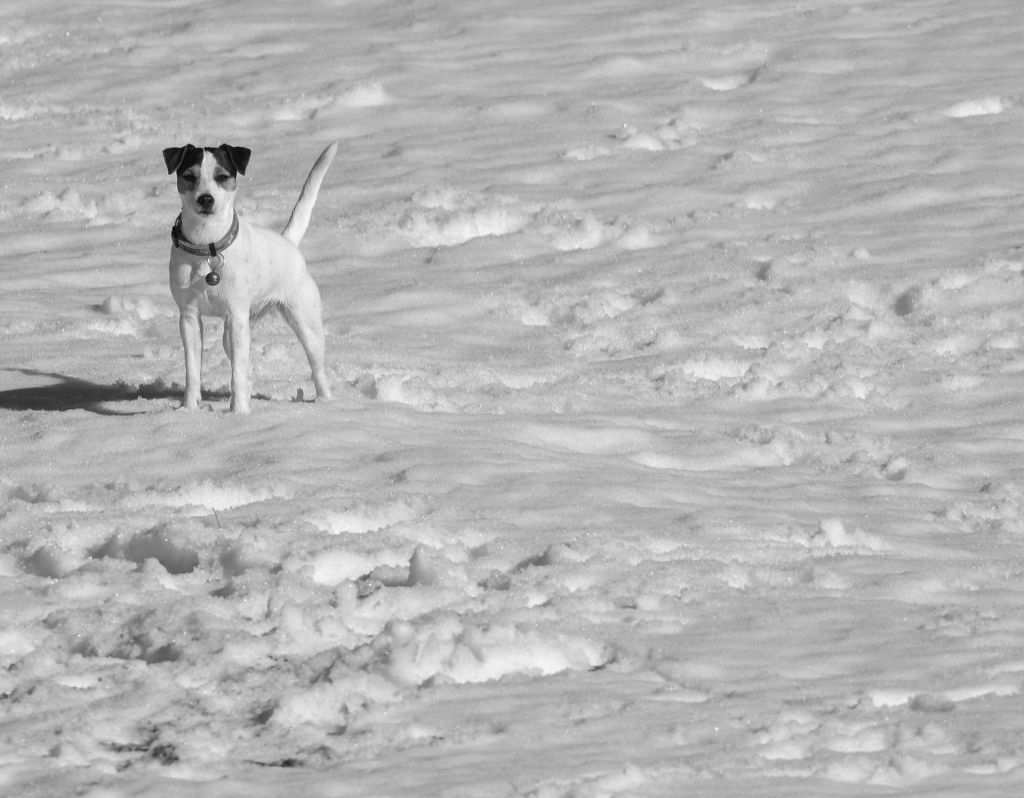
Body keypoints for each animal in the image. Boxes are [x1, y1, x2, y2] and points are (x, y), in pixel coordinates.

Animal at [163, 142, 337, 411]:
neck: (207, 245)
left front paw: (240, 413)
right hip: (236, 330)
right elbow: (192, 370)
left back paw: (325, 401)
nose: (206, 198)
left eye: (222, 176)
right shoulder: (189, 317)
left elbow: (236, 373)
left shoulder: (236, 315)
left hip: (304, 321)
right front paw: (189, 409)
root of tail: (288, 243)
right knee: (246, 367)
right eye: (189, 176)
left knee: (317, 368)